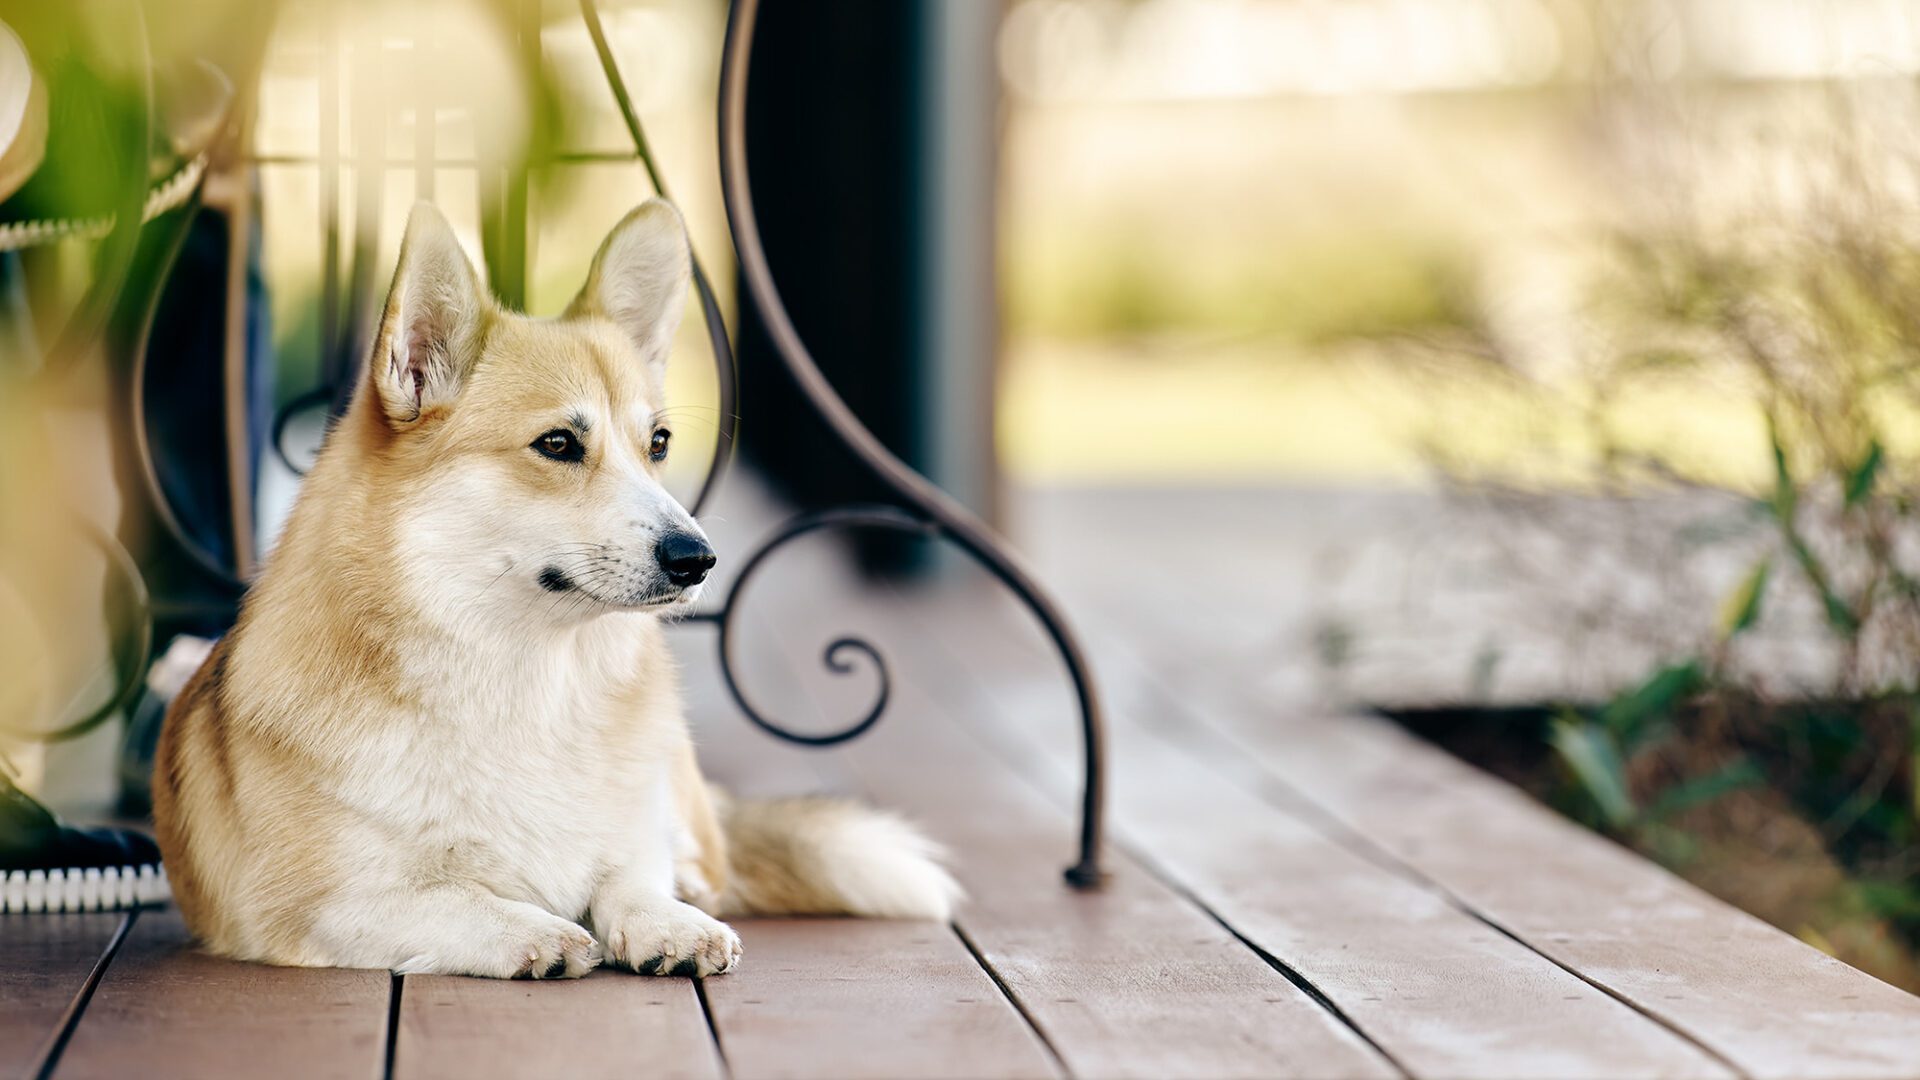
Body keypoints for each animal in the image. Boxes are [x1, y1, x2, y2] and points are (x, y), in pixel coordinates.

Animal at [153, 199, 960, 976]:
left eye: (658, 444)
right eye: (558, 445)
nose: (698, 559)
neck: (529, 677)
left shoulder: (633, 840)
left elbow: (631, 875)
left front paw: (664, 922)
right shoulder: (313, 903)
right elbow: (451, 900)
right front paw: (536, 932)